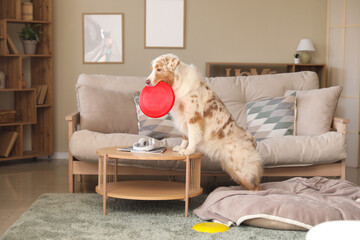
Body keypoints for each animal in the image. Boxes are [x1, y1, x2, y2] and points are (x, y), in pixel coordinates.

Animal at [145, 53, 262, 190]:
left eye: (159, 69)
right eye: (152, 69)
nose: (146, 81)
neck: (178, 83)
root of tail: (251, 140)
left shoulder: (193, 117)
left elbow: (192, 136)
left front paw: (188, 150)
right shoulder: (183, 118)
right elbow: (185, 136)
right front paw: (181, 147)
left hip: (241, 166)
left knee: (255, 184)